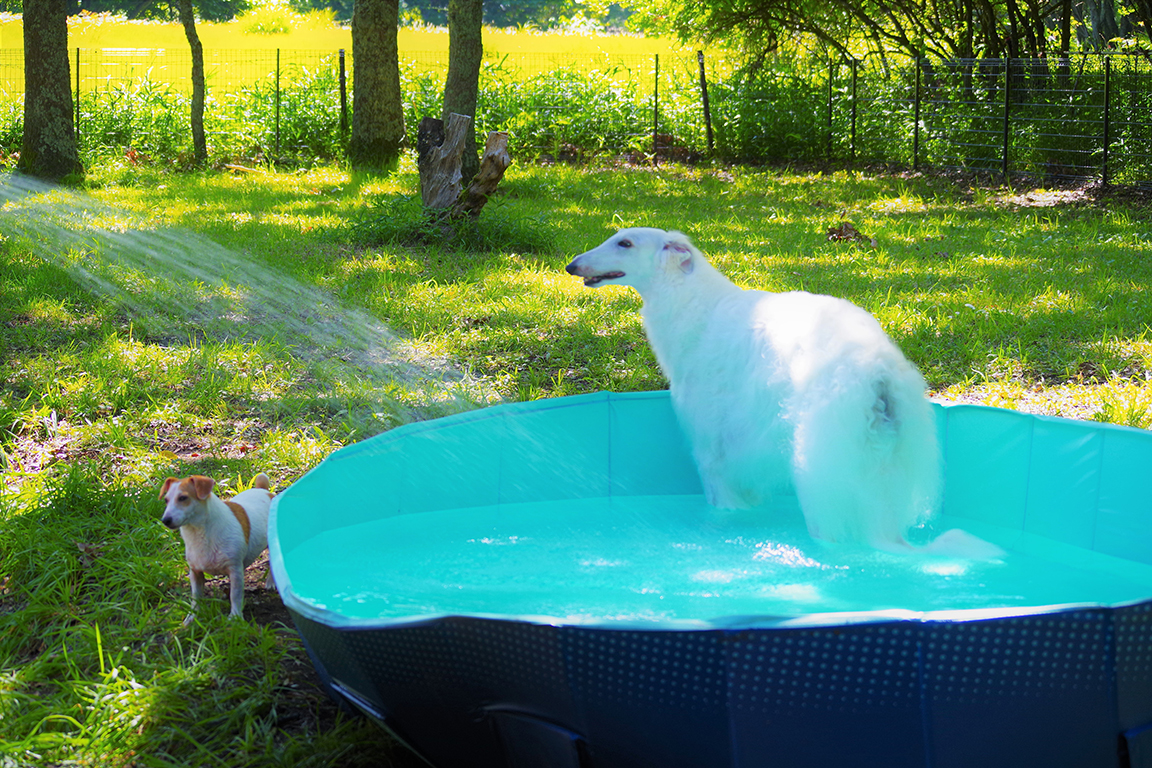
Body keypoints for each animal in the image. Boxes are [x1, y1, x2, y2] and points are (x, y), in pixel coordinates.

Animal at [160, 474, 274, 626]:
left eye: (183, 498)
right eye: (166, 500)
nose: (165, 520)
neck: (199, 533)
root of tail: (264, 491)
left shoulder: (235, 571)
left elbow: (235, 595)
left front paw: (235, 618)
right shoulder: (195, 572)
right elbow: (196, 597)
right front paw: (192, 617)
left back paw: (271, 582)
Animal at [564, 225, 935, 550]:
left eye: (625, 243)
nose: (571, 265)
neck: (696, 307)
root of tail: (878, 372)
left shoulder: (711, 453)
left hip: (823, 473)